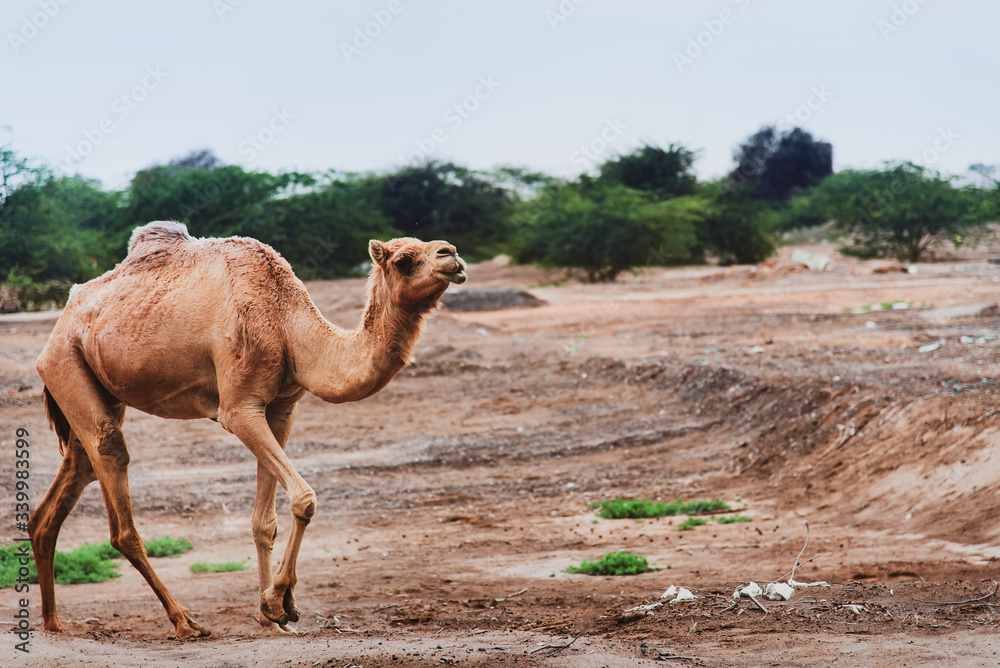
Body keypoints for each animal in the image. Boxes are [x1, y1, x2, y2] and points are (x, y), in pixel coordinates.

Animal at [29, 222, 466, 640]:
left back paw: (53, 622)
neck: (287, 323)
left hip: (92, 385)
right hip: (66, 363)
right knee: (114, 480)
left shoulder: (281, 409)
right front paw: (279, 602)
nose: (453, 254)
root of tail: (57, 326)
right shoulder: (239, 408)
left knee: (69, 481)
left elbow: (264, 521)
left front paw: (271, 617)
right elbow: (304, 499)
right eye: (404, 259)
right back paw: (185, 622)